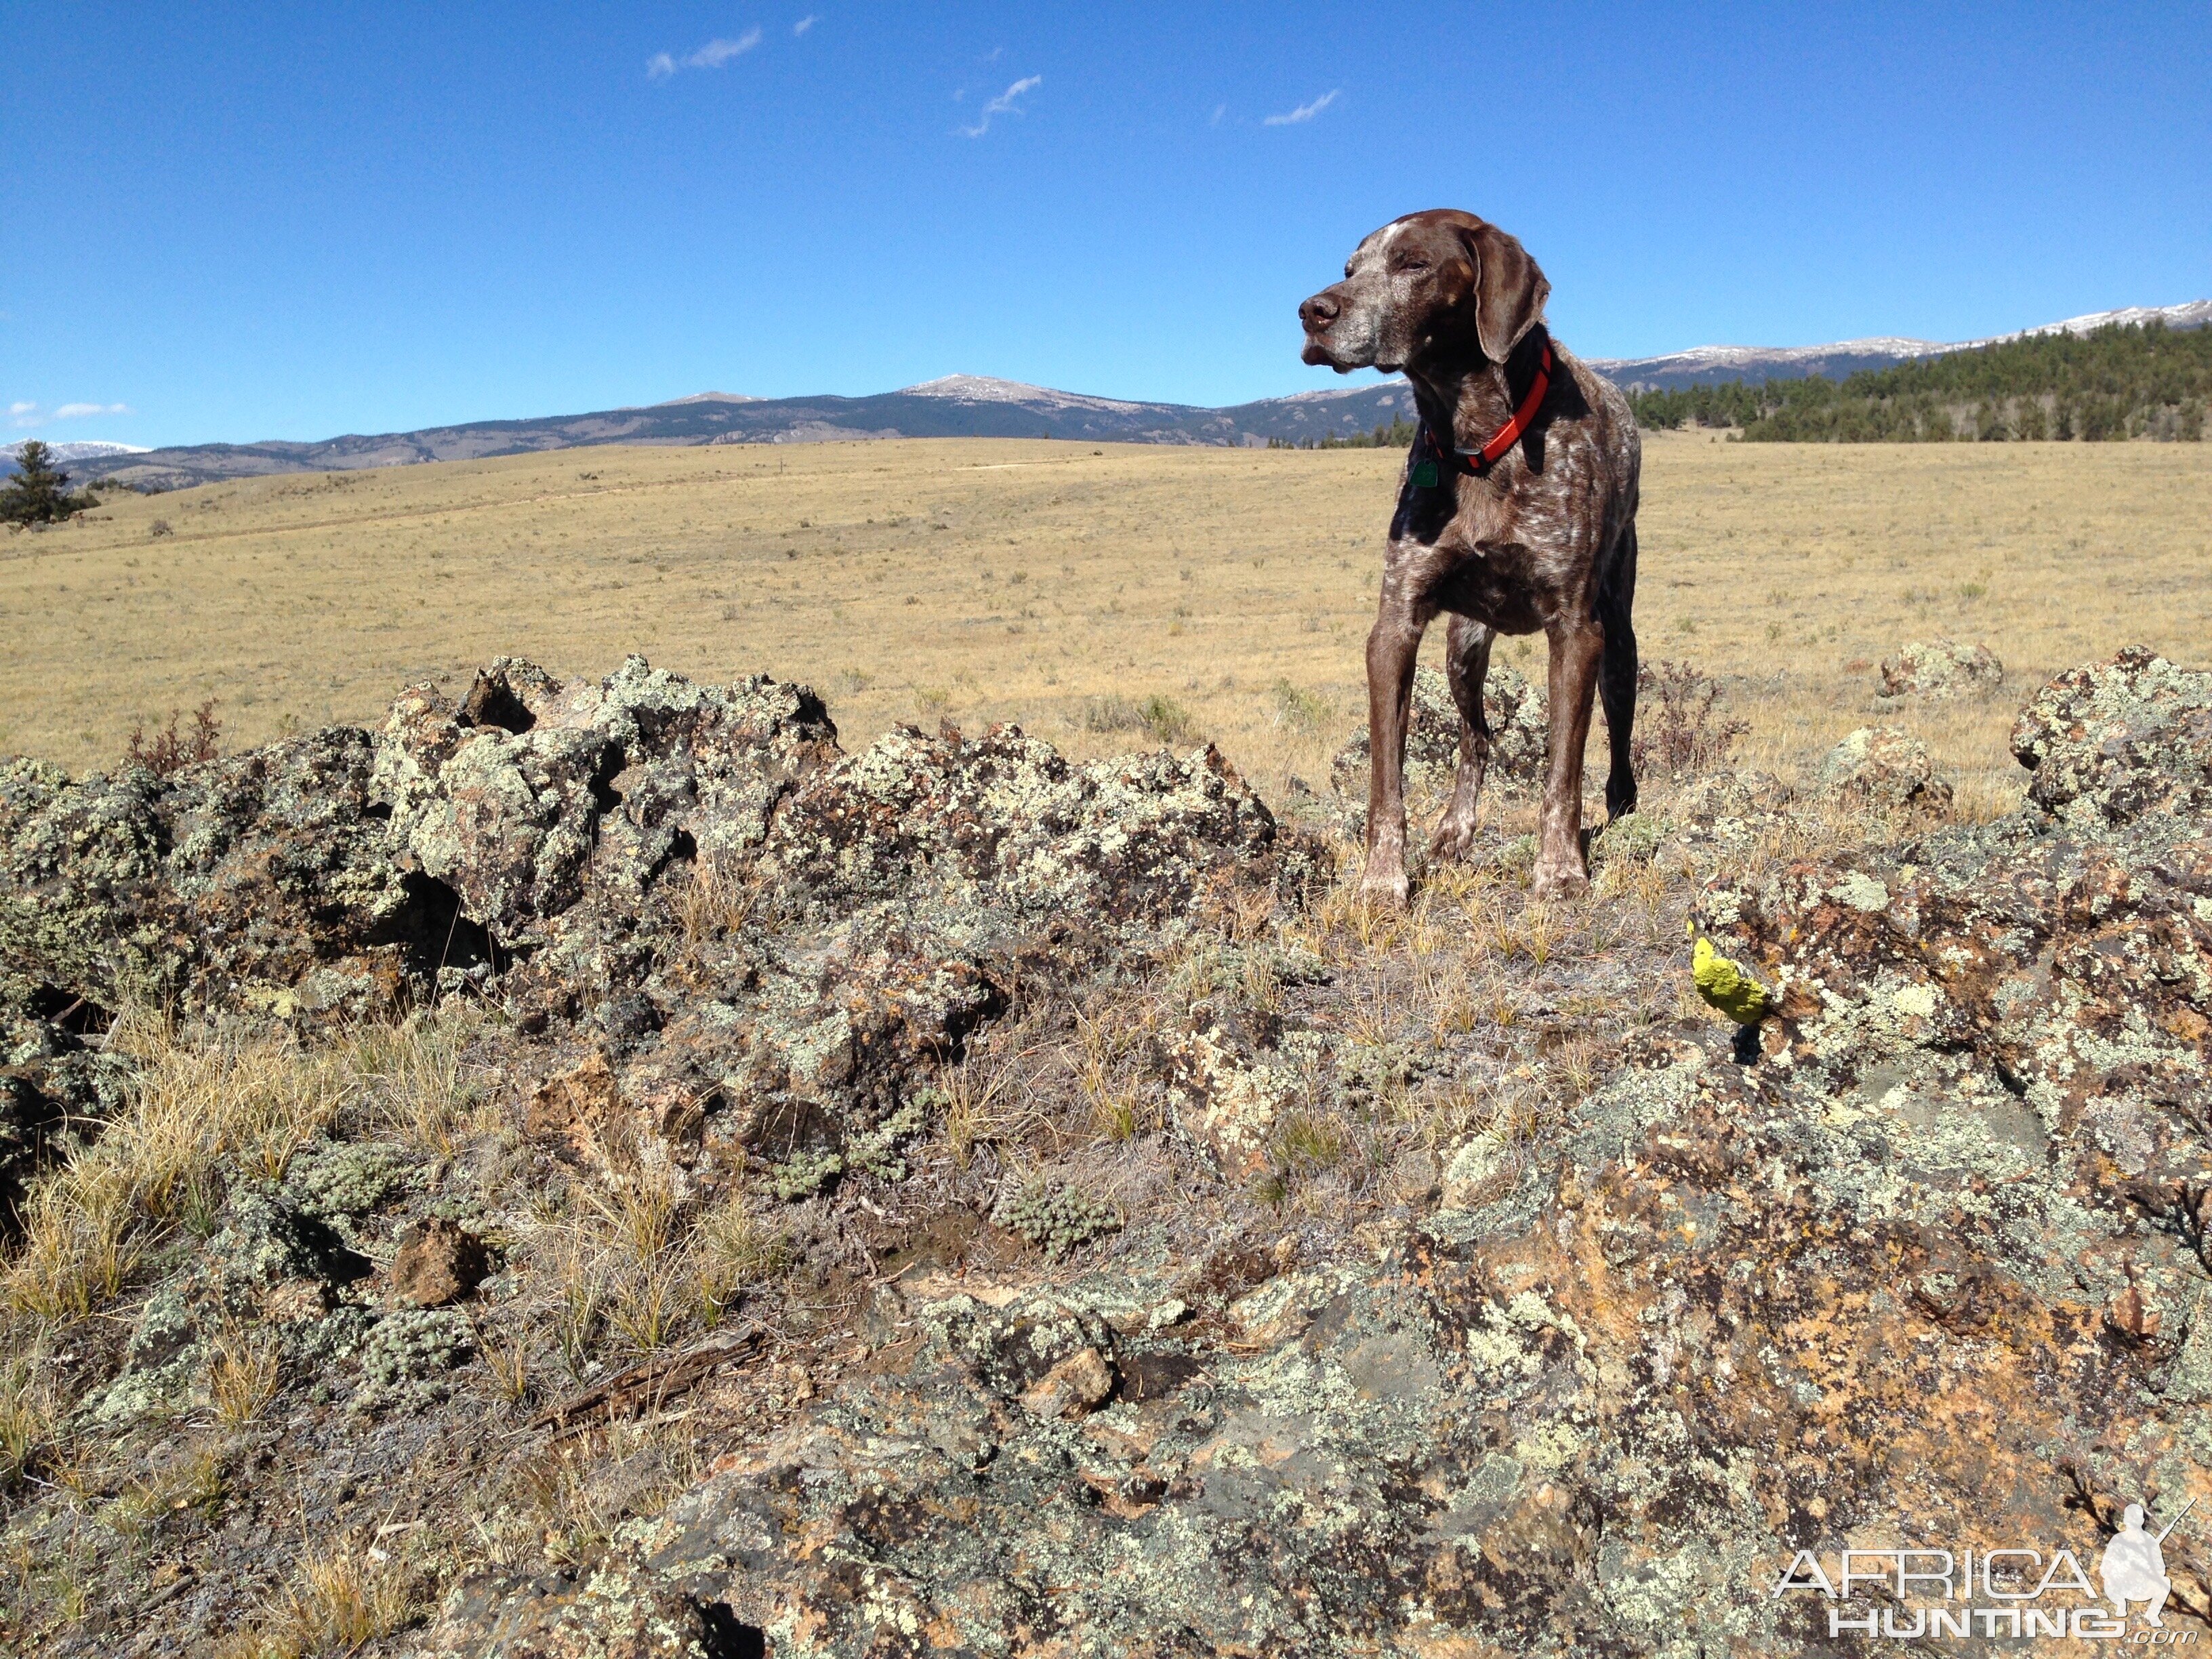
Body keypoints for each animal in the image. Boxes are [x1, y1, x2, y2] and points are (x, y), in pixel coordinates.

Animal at [1292, 211, 1645, 911]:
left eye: (1412, 263)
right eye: (1350, 269)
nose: (1312, 312)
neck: (1477, 441)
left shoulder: (1576, 630)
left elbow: (1562, 775)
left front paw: (1561, 870)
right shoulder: (1396, 625)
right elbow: (1387, 785)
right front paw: (1382, 880)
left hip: (1619, 638)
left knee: (1616, 734)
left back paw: (1623, 808)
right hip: (1463, 645)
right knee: (1476, 740)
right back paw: (1456, 830)